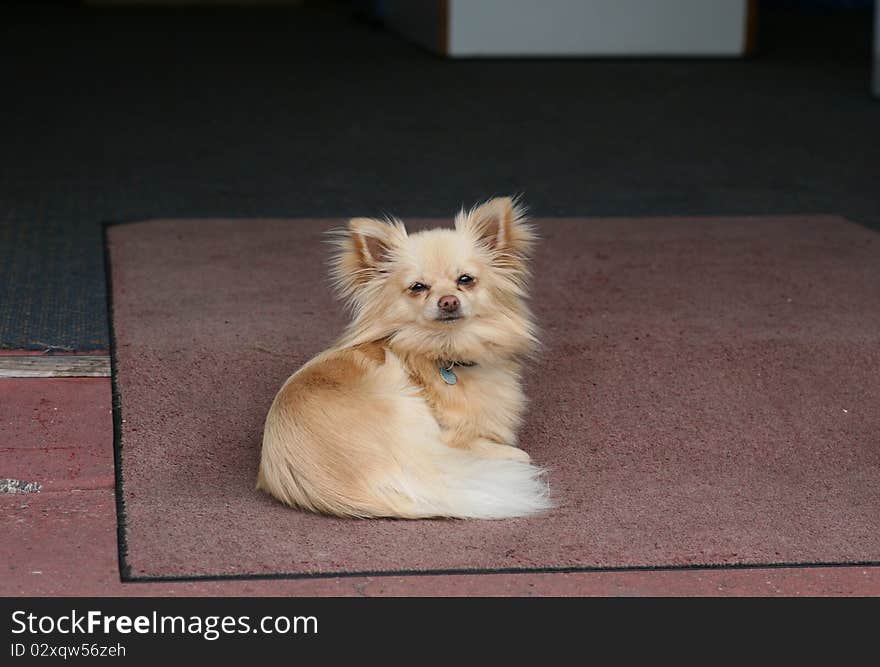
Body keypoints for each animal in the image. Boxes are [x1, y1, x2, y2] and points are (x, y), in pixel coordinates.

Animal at [258, 196, 552, 520]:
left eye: (465, 280)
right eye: (418, 287)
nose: (448, 301)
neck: (446, 351)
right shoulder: (452, 434)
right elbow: (479, 442)